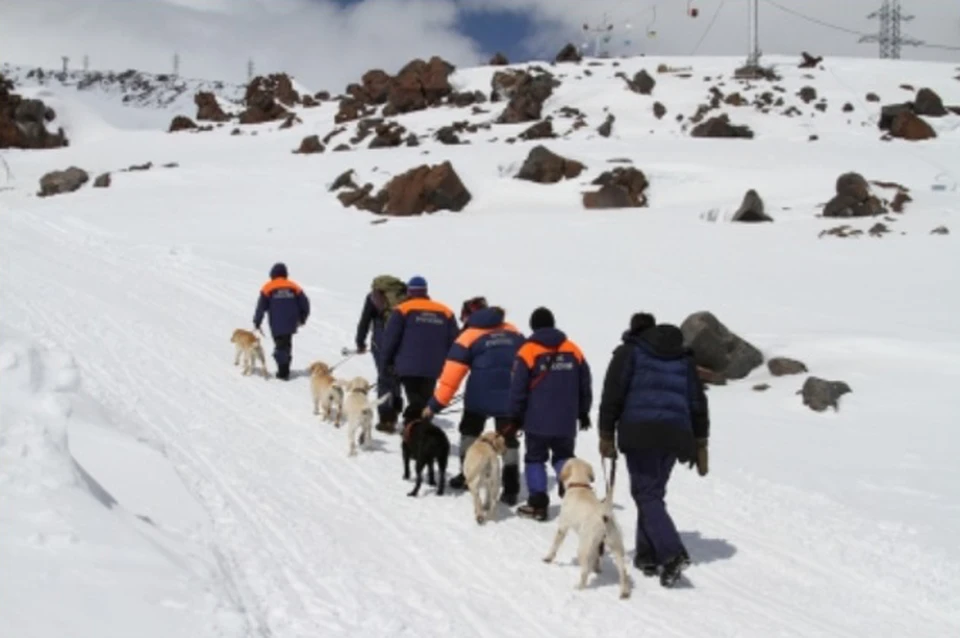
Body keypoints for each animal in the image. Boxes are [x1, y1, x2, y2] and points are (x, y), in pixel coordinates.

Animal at [544, 460, 632, 600]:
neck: (580, 485)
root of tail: (604, 517)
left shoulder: (563, 527)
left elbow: (555, 545)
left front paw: (548, 558)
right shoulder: (598, 545)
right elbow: (597, 557)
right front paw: (597, 568)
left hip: (584, 547)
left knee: (585, 571)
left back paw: (580, 587)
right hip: (617, 547)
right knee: (623, 571)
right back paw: (624, 592)